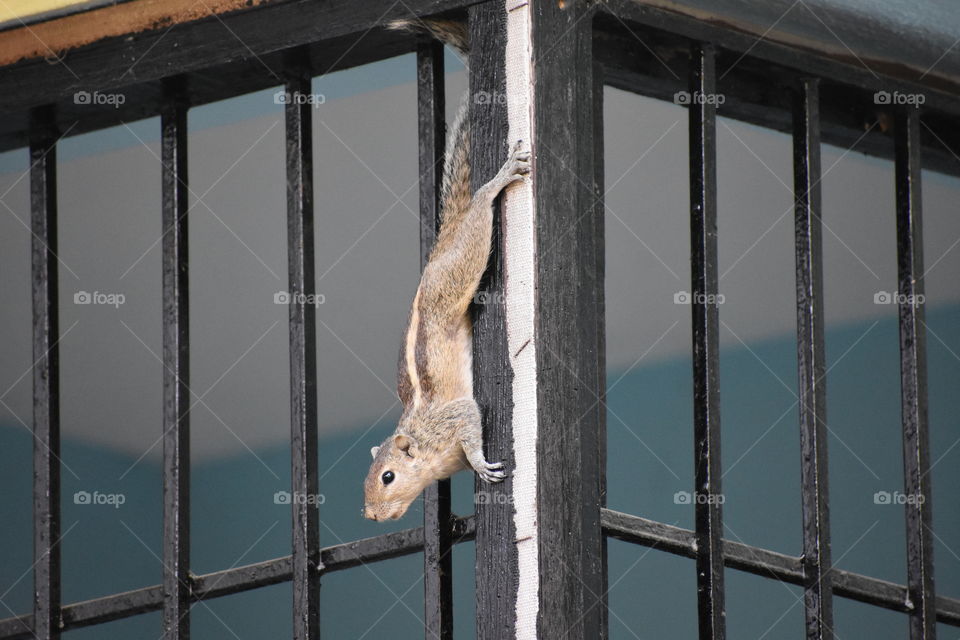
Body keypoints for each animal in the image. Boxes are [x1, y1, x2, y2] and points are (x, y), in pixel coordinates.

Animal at [363, 19, 531, 521]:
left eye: (388, 476)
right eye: (365, 481)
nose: (371, 514)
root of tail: (443, 242)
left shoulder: (454, 417)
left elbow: (473, 427)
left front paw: (481, 464)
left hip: (458, 271)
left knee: (480, 212)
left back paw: (498, 181)